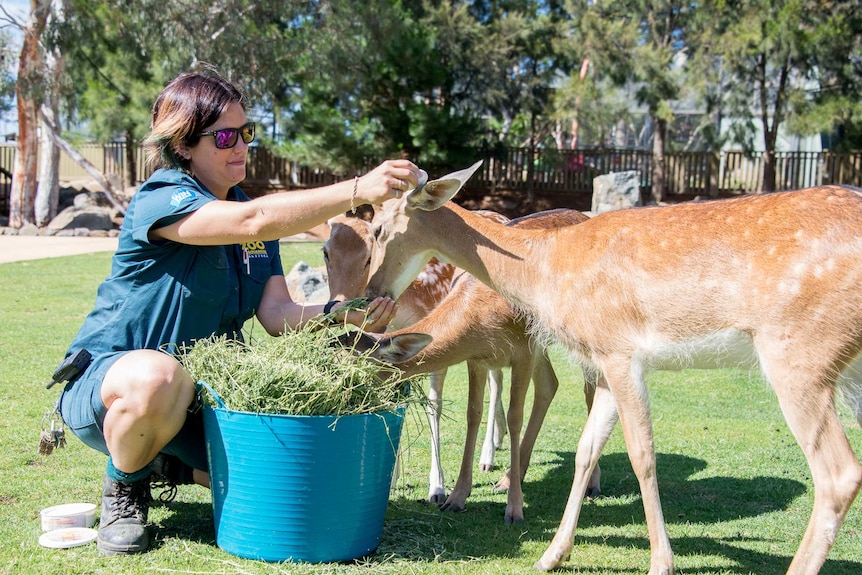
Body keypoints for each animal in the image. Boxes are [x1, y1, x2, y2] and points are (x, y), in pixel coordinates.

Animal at [328, 210, 604, 516]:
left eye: (354, 374)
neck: (481, 314)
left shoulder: (523, 351)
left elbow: (514, 416)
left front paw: (514, 508)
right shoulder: (478, 358)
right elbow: (472, 414)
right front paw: (457, 496)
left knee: (588, 391)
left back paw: (592, 483)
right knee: (549, 384)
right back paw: (510, 476)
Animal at [362, 159, 862, 575]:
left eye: (380, 229)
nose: (370, 293)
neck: (546, 267)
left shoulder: (621, 351)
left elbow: (643, 454)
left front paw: (661, 563)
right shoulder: (602, 357)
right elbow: (586, 448)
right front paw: (551, 555)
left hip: (799, 354)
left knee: (838, 474)